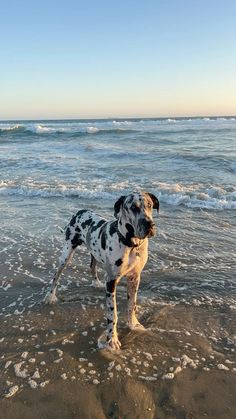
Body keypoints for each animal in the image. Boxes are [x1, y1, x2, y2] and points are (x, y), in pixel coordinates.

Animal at [44, 193, 159, 352]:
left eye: (149, 205)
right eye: (133, 207)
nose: (150, 225)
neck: (131, 244)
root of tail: (79, 212)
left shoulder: (134, 278)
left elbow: (132, 305)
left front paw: (134, 325)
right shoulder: (111, 281)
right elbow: (112, 314)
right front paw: (112, 340)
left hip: (94, 253)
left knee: (92, 266)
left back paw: (96, 282)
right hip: (66, 254)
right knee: (56, 275)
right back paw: (50, 296)